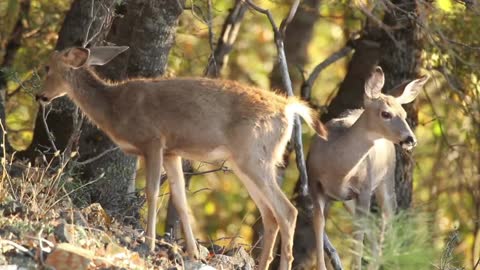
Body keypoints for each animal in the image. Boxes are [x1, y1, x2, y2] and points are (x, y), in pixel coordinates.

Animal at [34, 46, 326, 270]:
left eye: (47, 67)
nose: (40, 96)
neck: (114, 107)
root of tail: (288, 108)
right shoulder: (172, 152)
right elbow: (181, 200)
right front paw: (193, 252)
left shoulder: (153, 140)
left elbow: (152, 192)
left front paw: (149, 243)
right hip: (246, 162)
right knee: (269, 215)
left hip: (254, 156)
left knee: (287, 211)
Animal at [306, 66, 430, 270]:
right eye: (386, 113)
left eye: (405, 115)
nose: (411, 139)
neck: (337, 168)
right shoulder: (315, 185)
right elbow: (319, 224)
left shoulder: (364, 188)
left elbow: (358, 233)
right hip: (349, 200)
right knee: (373, 225)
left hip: (386, 180)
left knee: (388, 218)